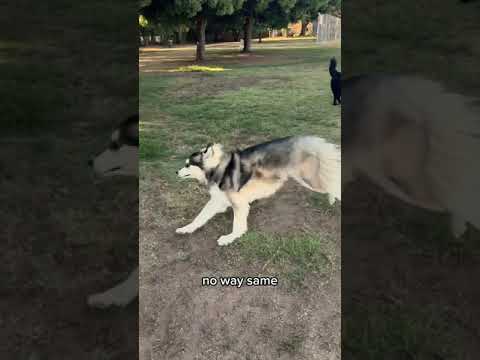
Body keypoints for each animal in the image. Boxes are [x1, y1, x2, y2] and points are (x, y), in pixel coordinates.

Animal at [174, 136, 340, 246]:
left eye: (188, 165)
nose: (176, 172)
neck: (219, 168)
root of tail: (303, 141)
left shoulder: (239, 204)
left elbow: (238, 225)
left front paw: (230, 238)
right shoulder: (217, 201)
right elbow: (200, 217)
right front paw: (186, 229)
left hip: (311, 181)